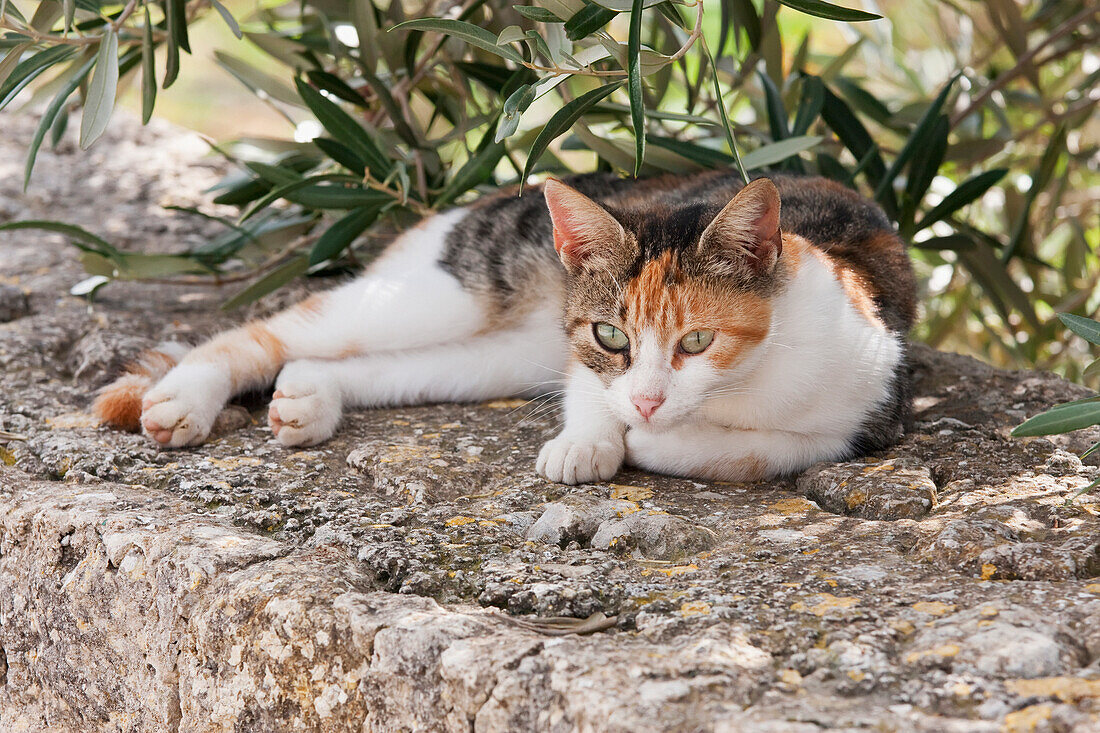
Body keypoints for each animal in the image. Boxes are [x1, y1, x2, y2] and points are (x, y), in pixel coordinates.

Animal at [94, 171, 915, 484]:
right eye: (611, 337)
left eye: (696, 342)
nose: (647, 402)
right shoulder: (583, 360)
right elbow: (591, 394)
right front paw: (589, 441)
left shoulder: (865, 408)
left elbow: (764, 451)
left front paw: (649, 440)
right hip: (445, 291)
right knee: (272, 330)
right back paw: (186, 397)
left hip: (500, 354)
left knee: (383, 366)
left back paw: (309, 398)